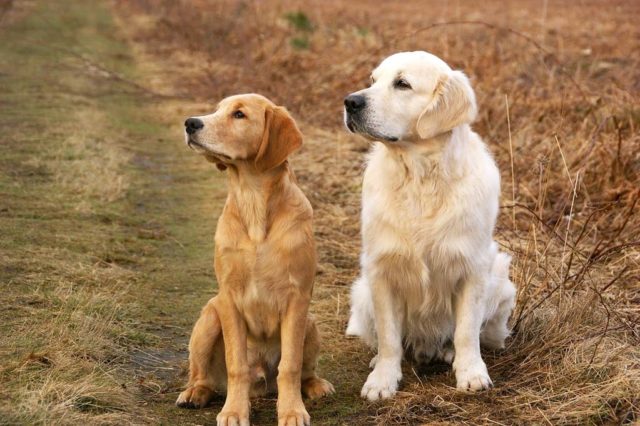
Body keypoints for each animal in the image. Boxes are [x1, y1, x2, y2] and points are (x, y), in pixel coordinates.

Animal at [176, 94, 336, 426]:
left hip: (311, 323)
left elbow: (290, 366)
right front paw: (234, 411)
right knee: (204, 376)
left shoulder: (297, 298)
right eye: (217, 109)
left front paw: (292, 411)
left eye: (239, 114)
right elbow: (236, 365)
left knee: (303, 371)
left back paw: (315, 385)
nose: (190, 123)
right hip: (209, 317)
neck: (253, 201)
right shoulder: (229, 298)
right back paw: (195, 393)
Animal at [342, 52, 516, 400]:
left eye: (402, 84)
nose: (350, 102)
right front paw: (383, 379)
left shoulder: (473, 268)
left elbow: (466, 331)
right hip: (362, 292)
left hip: (501, 281)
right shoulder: (381, 269)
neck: (421, 177)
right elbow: (389, 337)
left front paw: (471, 372)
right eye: (372, 81)